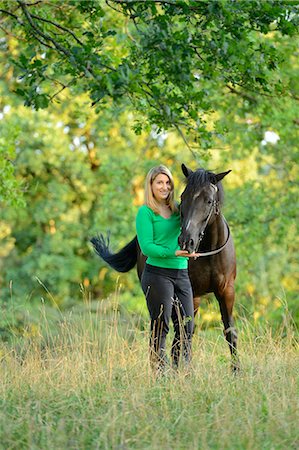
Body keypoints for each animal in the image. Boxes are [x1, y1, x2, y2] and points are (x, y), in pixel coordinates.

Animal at [91, 163, 239, 370]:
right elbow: (183, 334)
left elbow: (229, 331)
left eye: (209, 201)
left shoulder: (226, 291)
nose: (186, 241)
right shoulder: (190, 294)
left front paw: (236, 371)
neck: (208, 250)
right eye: (183, 197)